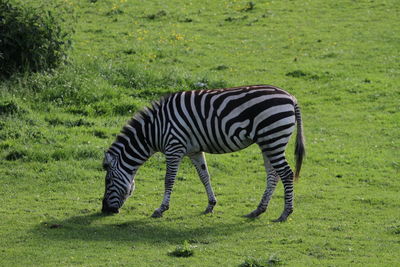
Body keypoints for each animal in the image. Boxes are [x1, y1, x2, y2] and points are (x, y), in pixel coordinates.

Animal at [101, 85, 304, 222]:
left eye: (108, 181)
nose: (104, 210)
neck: (154, 130)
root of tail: (291, 97)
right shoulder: (194, 150)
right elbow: (204, 176)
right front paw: (210, 205)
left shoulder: (174, 147)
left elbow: (169, 179)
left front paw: (161, 209)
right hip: (268, 142)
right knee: (273, 175)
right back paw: (258, 210)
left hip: (273, 137)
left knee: (286, 173)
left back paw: (285, 213)